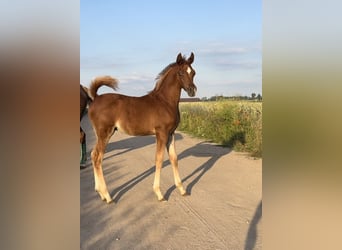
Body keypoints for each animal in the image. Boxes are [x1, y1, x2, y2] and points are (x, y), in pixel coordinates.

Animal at [87, 52, 198, 203]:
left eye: (193, 72)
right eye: (180, 73)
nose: (192, 91)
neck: (165, 101)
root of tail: (96, 98)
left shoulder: (171, 133)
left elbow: (174, 159)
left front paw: (182, 190)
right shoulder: (161, 133)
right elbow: (159, 159)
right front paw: (159, 193)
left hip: (100, 134)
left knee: (93, 155)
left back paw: (100, 193)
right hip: (105, 133)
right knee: (98, 158)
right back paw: (108, 196)